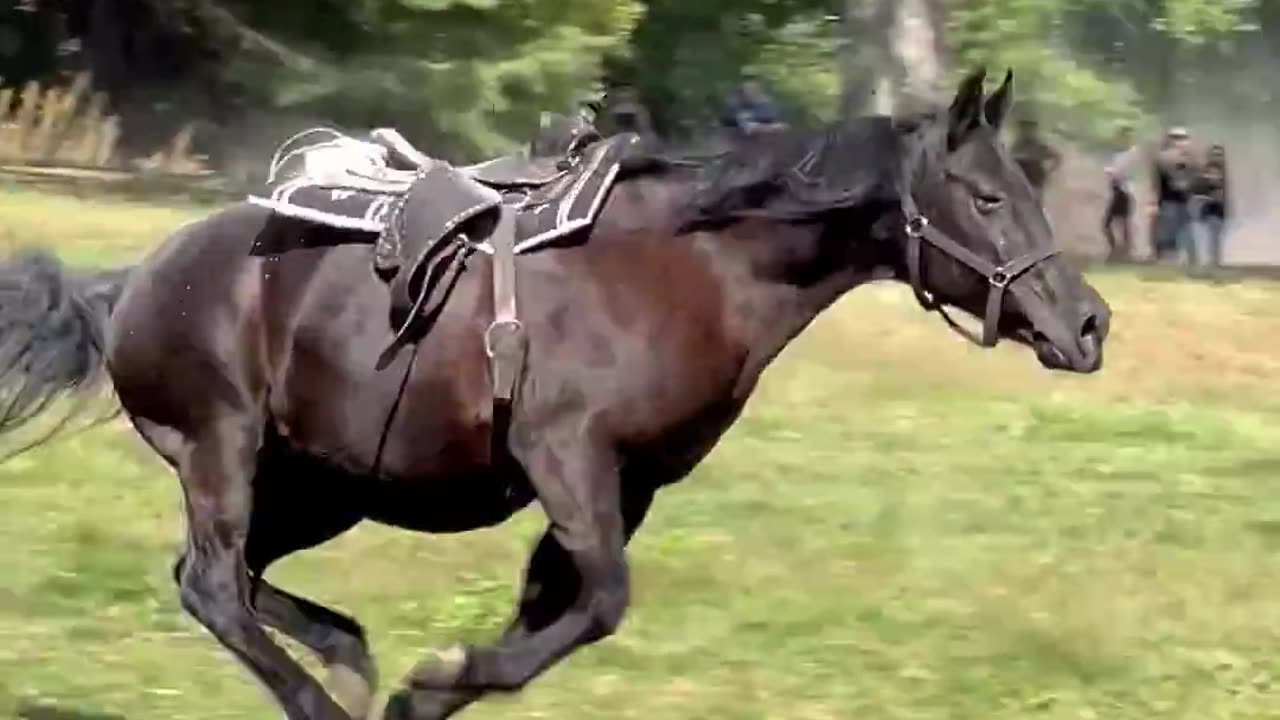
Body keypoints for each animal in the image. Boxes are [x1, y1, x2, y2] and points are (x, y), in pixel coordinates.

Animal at [0, 68, 1111, 717]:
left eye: (1020, 186)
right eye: (985, 195)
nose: (1088, 324)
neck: (691, 267)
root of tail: (133, 283)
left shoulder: (632, 482)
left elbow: (557, 611)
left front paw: (426, 690)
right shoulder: (567, 458)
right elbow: (601, 602)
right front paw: (435, 680)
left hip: (321, 481)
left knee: (229, 577)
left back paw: (349, 657)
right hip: (221, 447)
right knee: (212, 585)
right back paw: (323, 696)